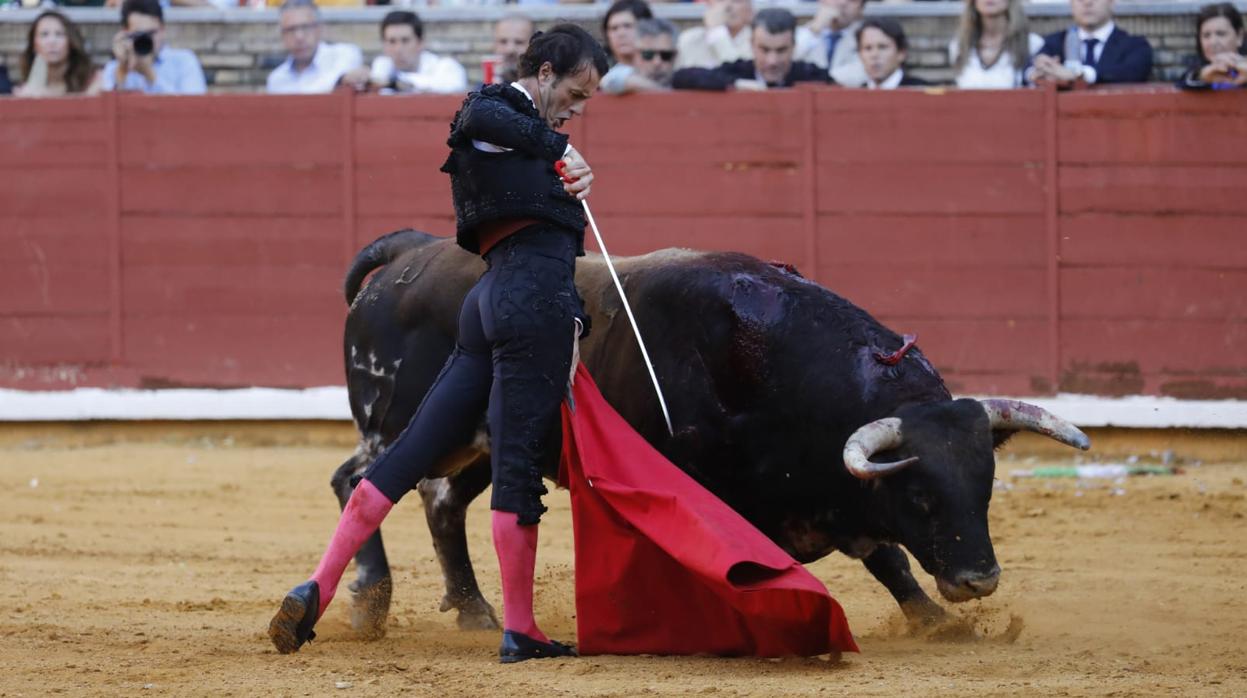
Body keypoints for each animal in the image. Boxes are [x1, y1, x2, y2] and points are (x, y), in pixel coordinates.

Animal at [326, 230, 1087, 638]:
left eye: (985, 488)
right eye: (923, 497)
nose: (979, 579)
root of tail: (411, 254)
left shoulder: (835, 498)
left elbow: (887, 560)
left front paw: (935, 623)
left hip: (486, 442)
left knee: (441, 503)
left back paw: (475, 611)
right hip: (401, 424)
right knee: (358, 481)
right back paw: (371, 604)